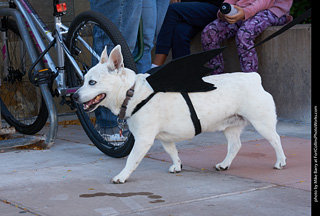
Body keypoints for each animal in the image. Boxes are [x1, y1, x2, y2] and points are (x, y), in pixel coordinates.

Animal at [74, 45, 286, 184]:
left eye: (92, 82)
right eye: (83, 81)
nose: (74, 96)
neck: (131, 92)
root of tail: (253, 77)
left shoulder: (143, 140)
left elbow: (132, 159)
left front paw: (122, 176)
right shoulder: (165, 139)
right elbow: (172, 152)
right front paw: (177, 166)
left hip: (262, 123)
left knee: (275, 139)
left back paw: (280, 162)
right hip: (231, 127)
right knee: (235, 145)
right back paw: (224, 164)